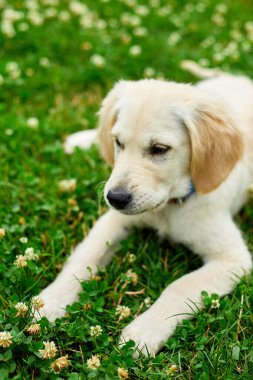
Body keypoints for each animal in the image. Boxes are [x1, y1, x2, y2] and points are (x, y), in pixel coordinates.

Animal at [39, 61, 253, 356]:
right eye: (118, 143)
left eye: (159, 149)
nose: (115, 198)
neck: (169, 207)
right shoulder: (114, 220)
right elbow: (84, 256)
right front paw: (50, 300)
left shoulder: (232, 259)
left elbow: (180, 286)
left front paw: (142, 333)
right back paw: (81, 139)